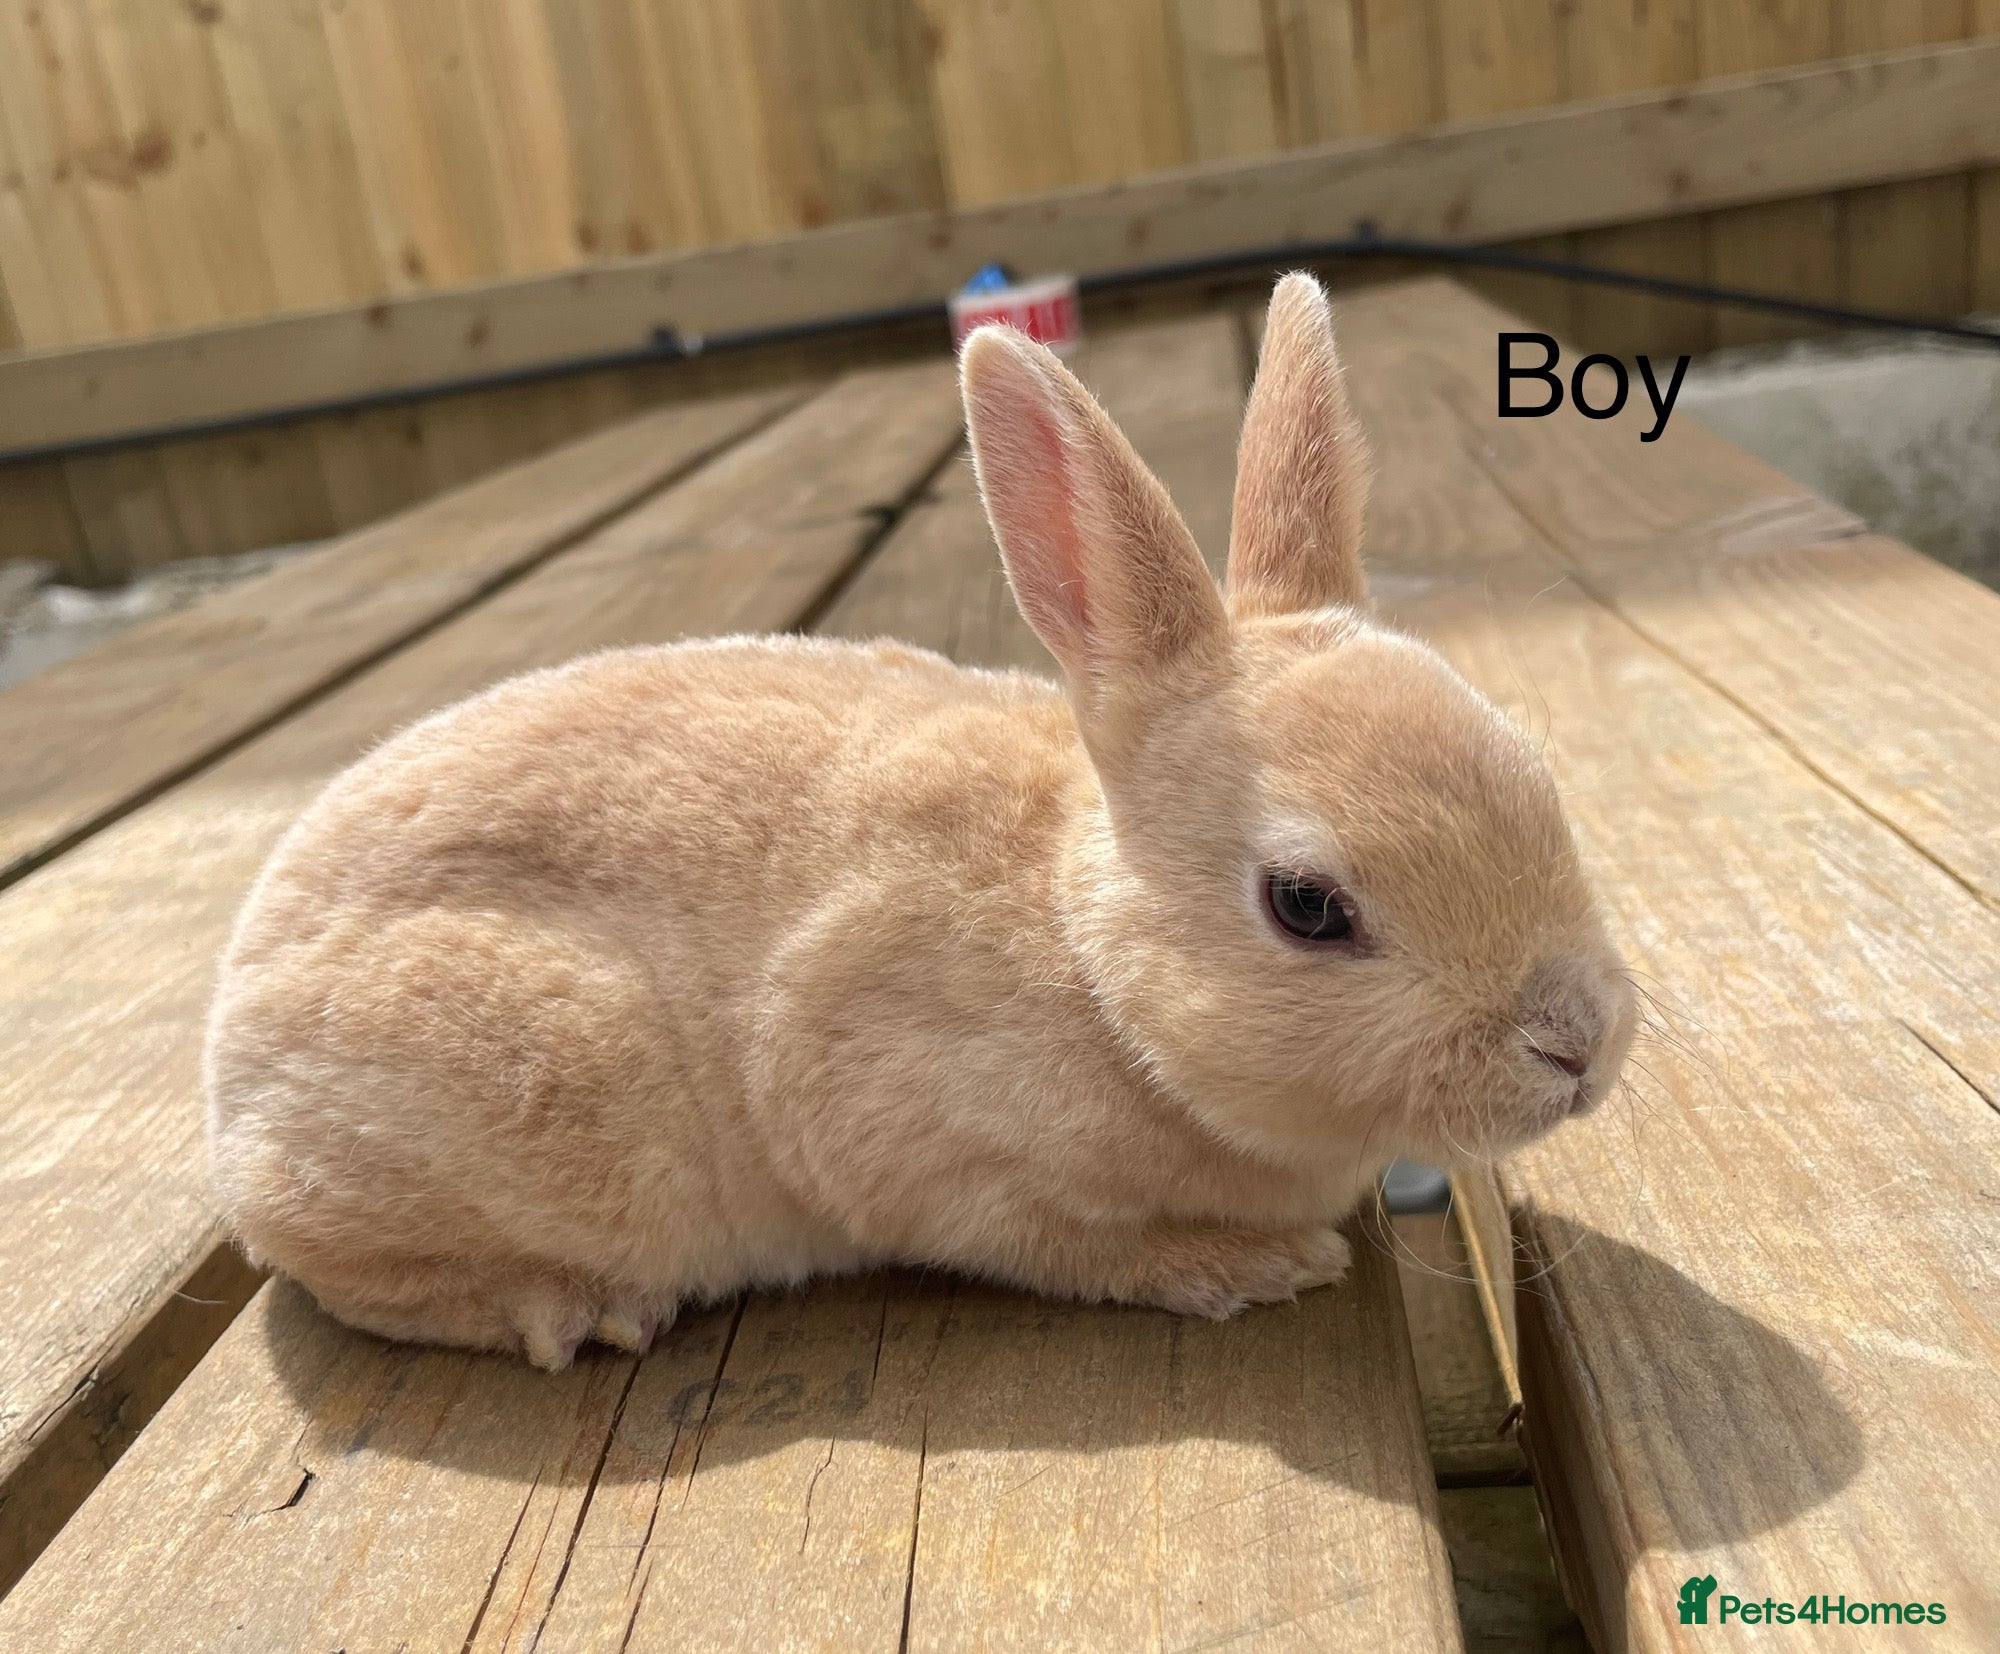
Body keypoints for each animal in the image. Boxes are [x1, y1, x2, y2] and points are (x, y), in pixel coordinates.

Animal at [205, 273, 1636, 1370]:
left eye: (1532, 774)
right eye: (1306, 906)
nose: (1576, 1045)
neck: (1084, 959)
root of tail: (234, 1073)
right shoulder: (917, 1135)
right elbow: (1058, 1241)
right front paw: (1248, 1265)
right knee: (348, 1270)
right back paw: (572, 1308)